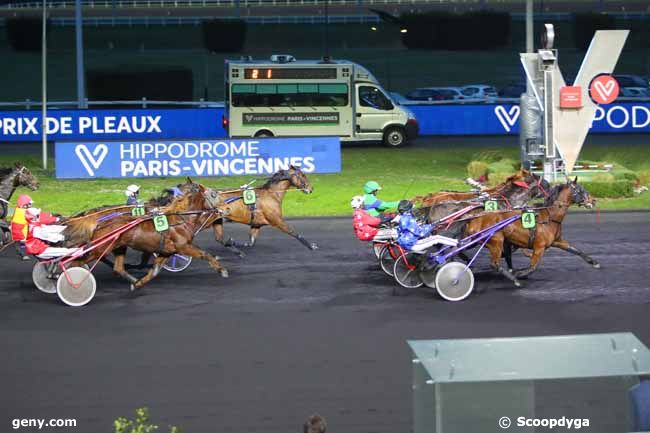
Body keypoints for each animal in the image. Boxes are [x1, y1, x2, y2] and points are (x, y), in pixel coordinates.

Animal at [69, 182, 228, 290]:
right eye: (214, 194)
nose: (226, 208)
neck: (180, 219)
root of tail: (97, 221)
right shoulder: (183, 246)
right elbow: (205, 254)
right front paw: (222, 270)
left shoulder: (166, 251)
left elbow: (154, 270)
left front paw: (138, 283)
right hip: (100, 248)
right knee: (77, 261)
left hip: (118, 247)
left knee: (117, 267)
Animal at [464, 177, 596, 286]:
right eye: (581, 190)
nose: (593, 200)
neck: (549, 218)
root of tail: (476, 219)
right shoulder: (539, 247)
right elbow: (533, 266)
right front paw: (520, 274)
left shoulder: (557, 241)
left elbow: (575, 250)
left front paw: (593, 262)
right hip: (496, 241)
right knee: (494, 264)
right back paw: (515, 280)